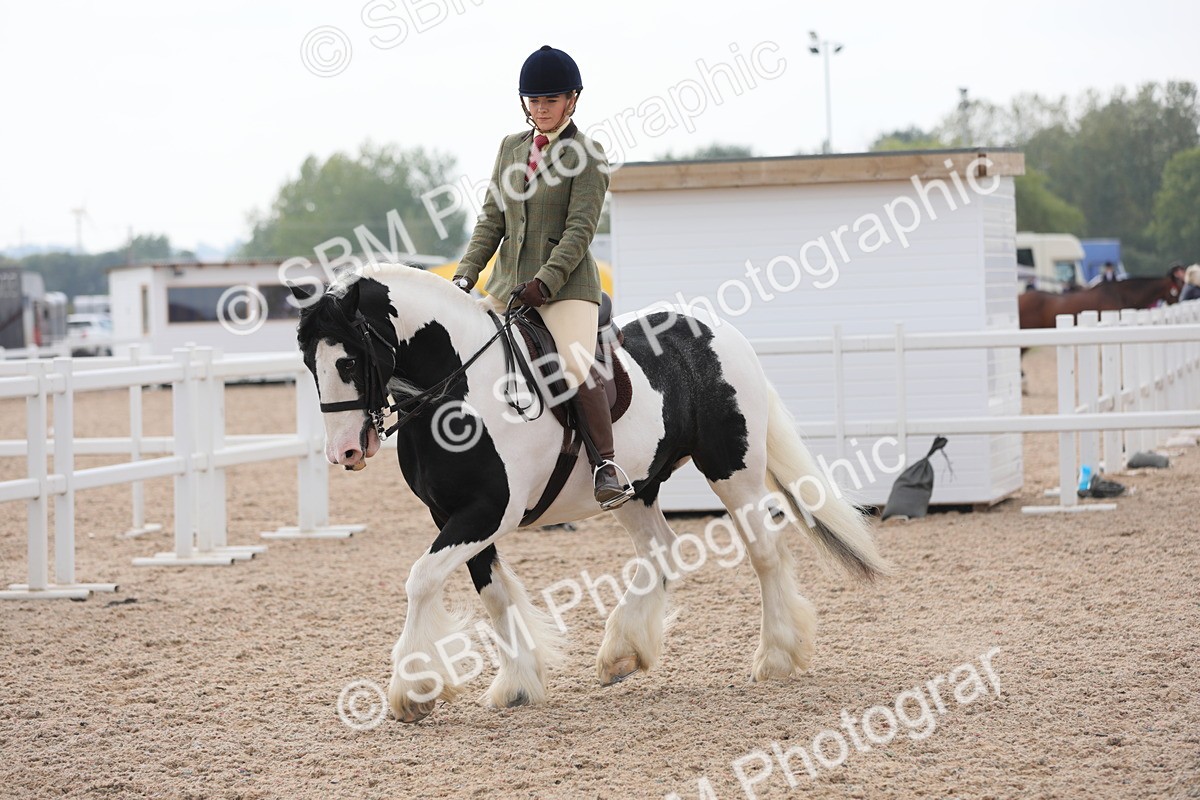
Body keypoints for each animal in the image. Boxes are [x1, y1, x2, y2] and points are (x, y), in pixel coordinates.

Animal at [293, 265, 888, 723]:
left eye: (348, 360)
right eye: (307, 362)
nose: (345, 451)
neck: (461, 389)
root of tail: (718, 331)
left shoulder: (487, 513)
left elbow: (421, 580)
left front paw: (414, 691)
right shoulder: (453, 515)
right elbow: (494, 593)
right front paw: (518, 684)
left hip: (731, 469)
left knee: (765, 554)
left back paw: (776, 657)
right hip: (635, 487)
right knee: (660, 550)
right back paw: (624, 653)